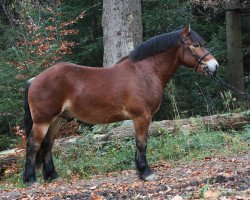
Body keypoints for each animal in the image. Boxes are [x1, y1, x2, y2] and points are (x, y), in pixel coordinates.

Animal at [23, 25, 219, 186]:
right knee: (33, 144)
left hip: (56, 120)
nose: (214, 66)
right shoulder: (142, 116)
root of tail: (35, 80)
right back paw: (31, 179)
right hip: (42, 121)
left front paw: (140, 171)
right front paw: (146, 173)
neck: (145, 71)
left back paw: (52, 176)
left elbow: (138, 143)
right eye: (195, 45)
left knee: (47, 145)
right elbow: (142, 143)